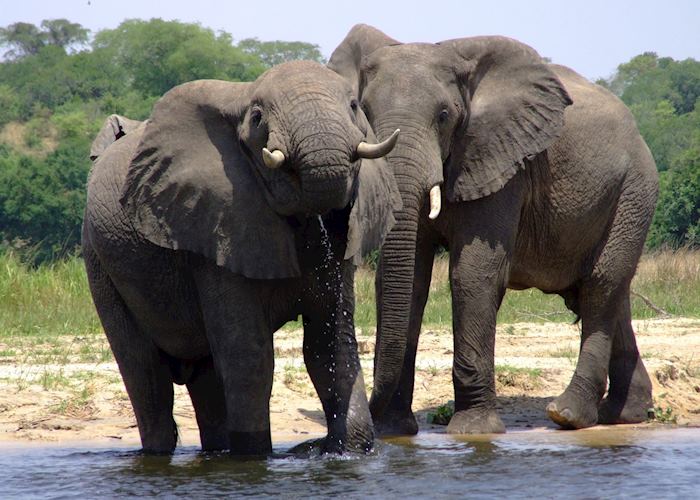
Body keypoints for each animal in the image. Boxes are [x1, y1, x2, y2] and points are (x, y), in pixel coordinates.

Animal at [81, 60, 400, 456]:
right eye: (258, 118)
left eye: (355, 106)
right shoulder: (218, 222)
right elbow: (249, 356)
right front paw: (254, 456)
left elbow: (330, 344)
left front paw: (349, 452)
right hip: (101, 263)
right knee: (145, 372)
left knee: (205, 377)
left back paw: (217, 452)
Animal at [330, 25, 660, 436]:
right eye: (365, 112)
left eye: (443, 116)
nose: (371, 416)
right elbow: (413, 279)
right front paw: (396, 431)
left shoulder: (502, 163)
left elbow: (473, 273)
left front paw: (474, 431)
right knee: (610, 293)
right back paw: (627, 414)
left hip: (634, 190)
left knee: (601, 285)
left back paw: (569, 415)